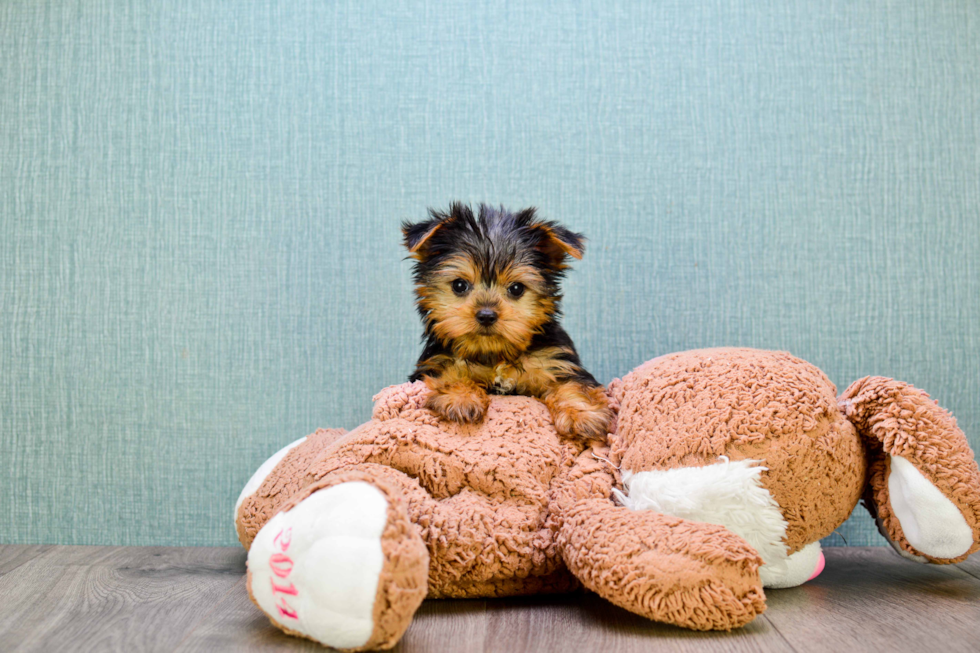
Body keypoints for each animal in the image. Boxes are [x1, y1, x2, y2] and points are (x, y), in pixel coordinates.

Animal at [402, 201, 608, 440]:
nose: (486, 315)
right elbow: (452, 370)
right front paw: (461, 398)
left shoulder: (555, 362)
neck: (495, 354)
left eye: (517, 288)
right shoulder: (435, 361)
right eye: (459, 285)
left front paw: (581, 414)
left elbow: (571, 384)